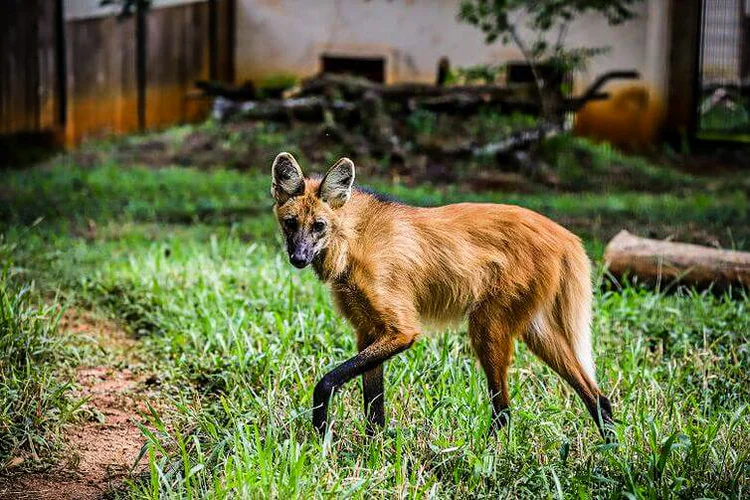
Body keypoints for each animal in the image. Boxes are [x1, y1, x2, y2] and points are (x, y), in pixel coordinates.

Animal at [274, 150, 612, 440]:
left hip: (487, 326)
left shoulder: (401, 330)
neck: (352, 241)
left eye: (319, 226)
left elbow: (327, 381)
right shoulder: (368, 330)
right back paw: (610, 451)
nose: (299, 258)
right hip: (534, 329)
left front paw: (323, 431)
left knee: (504, 409)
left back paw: (480, 451)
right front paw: (374, 449)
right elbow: (374, 405)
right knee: (596, 396)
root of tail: (565, 235)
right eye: (291, 224)